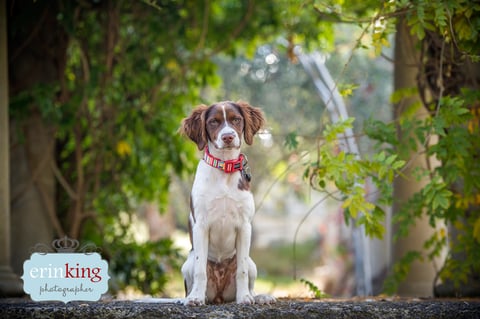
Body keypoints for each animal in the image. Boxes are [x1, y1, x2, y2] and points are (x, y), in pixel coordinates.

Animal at [178, 101, 276, 306]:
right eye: (213, 122)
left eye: (236, 119)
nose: (228, 137)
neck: (224, 168)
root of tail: (219, 297)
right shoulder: (201, 226)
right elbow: (200, 270)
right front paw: (195, 298)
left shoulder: (245, 226)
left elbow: (242, 271)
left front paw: (245, 297)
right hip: (187, 264)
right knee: (194, 277)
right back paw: (189, 297)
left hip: (252, 263)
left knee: (249, 275)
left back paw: (259, 297)